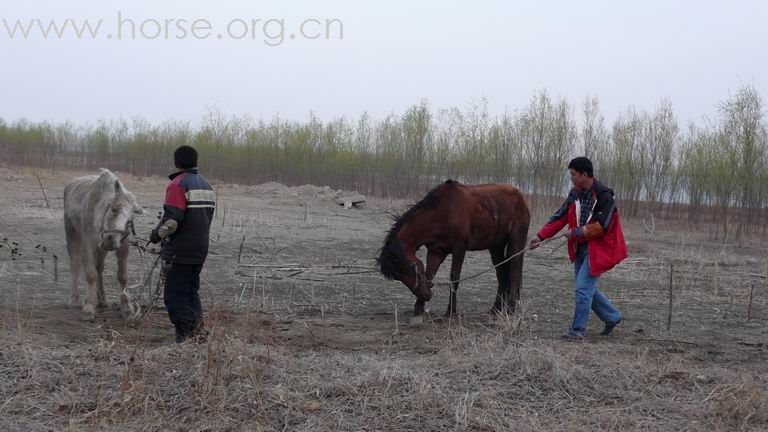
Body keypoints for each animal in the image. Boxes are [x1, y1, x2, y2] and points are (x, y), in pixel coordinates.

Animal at [64, 169, 144, 320]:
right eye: (114, 208)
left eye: (130, 219)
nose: (111, 240)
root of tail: (70, 184)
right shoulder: (89, 242)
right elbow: (90, 274)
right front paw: (89, 307)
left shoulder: (123, 246)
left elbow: (122, 275)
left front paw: (127, 308)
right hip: (71, 231)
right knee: (75, 265)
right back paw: (74, 300)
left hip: (101, 248)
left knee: (100, 268)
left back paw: (103, 301)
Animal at [376, 180, 528, 320]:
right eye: (398, 276)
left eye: (409, 267)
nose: (426, 295)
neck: (443, 213)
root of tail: (520, 196)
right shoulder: (435, 252)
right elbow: (429, 275)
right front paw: (418, 309)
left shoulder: (459, 249)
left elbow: (454, 279)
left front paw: (450, 312)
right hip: (496, 247)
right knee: (502, 274)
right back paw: (495, 310)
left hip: (516, 240)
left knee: (514, 273)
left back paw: (510, 310)